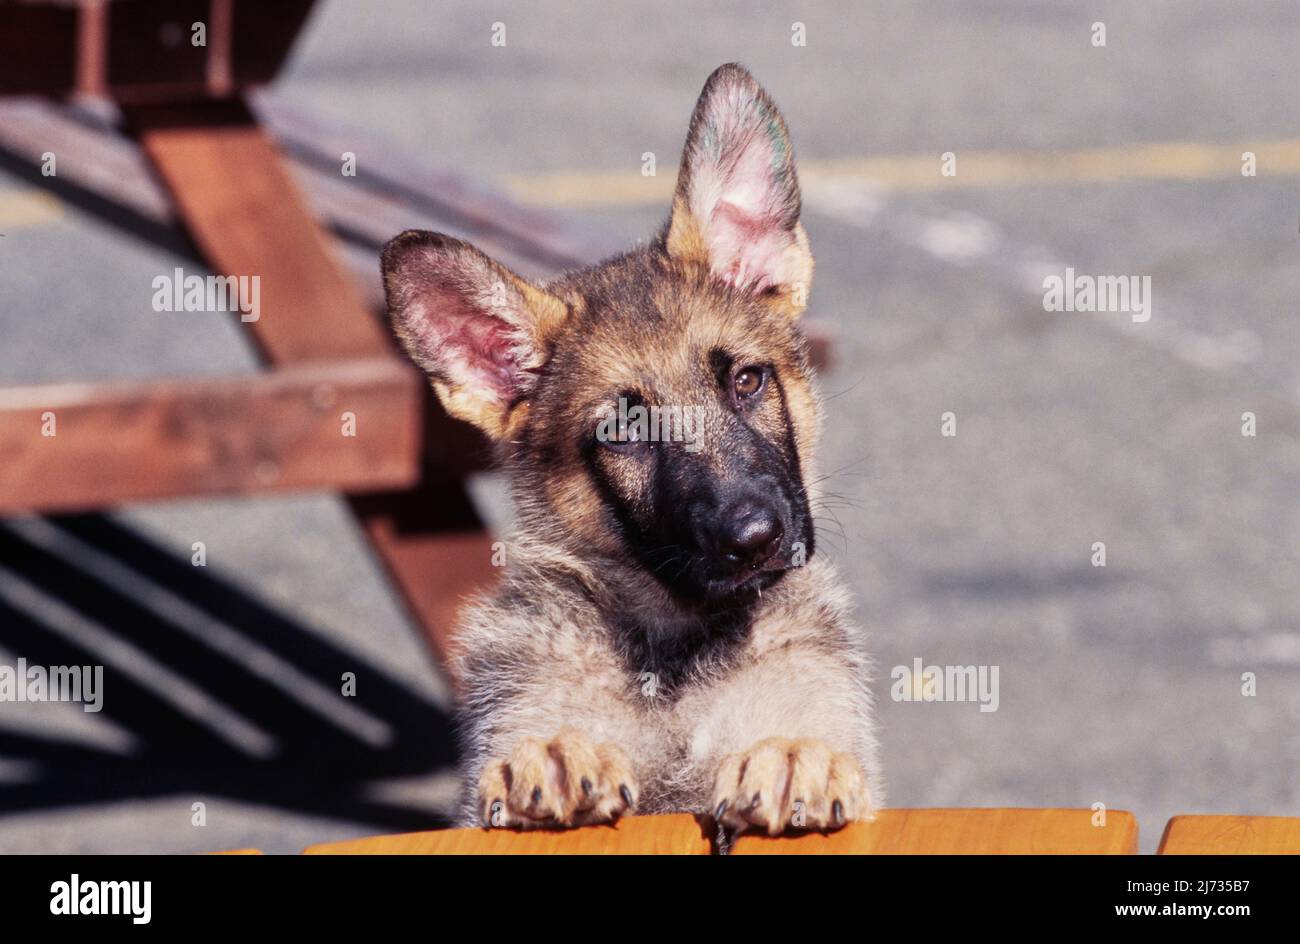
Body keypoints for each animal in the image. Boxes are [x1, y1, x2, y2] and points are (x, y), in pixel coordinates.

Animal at [379, 64, 878, 837]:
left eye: (746, 380)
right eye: (625, 431)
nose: (756, 538)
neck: (675, 647)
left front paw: (794, 757)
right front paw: (555, 758)